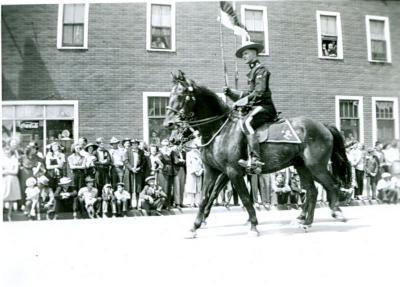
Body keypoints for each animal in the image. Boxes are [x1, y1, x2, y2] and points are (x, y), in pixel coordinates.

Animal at [164, 71, 352, 237]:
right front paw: (195, 226)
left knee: (332, 185)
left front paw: (253, 225)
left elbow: (245, 199)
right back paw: (305, 222)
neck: (219, 131)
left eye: (181, 95)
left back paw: (335, 212)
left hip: (316, 166)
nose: (168, 125)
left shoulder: (232, 172)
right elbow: (205, 198)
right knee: (312, 191)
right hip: (302, 166)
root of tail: (323, 126)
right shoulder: (213, 171)